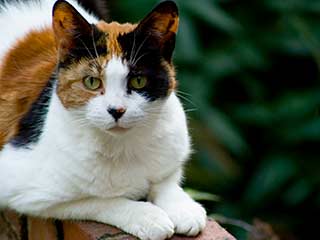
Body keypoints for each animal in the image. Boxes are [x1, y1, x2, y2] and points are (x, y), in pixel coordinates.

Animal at [0, 0, 206, 239]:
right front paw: (148, 216)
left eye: (138, 81)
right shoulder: (22, 184)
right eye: (91, 81)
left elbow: (166, 179)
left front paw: (183, 209)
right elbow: (99, 200)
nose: (116, 110)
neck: (122, 146)